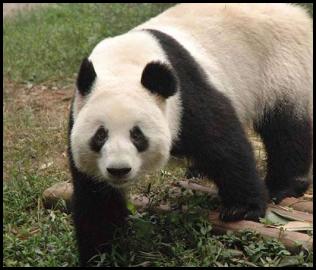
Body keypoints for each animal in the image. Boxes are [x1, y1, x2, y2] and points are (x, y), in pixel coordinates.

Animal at [68, 3, 312, 266]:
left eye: (137, 135)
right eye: (100, 136)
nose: (119, 170)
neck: (123, 66)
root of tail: (297, 14)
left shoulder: (187, 96)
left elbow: (224, 146)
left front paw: (242, 208)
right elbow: (97, 199)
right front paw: (102, 253)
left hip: (283, 70)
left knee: (286, 130)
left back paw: (283, 186)